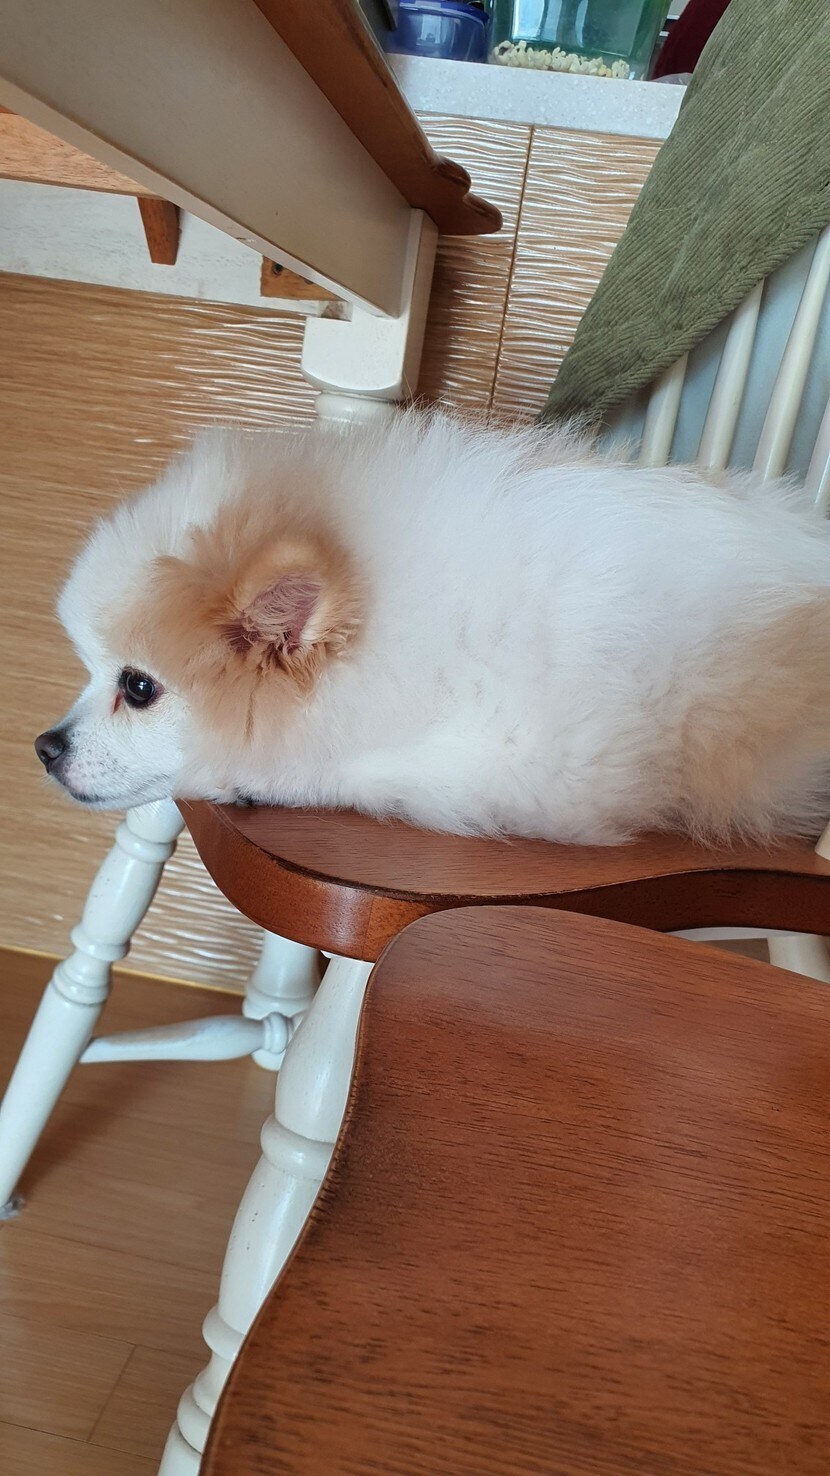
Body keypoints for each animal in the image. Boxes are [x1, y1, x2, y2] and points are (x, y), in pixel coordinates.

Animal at [36, 410, 830, 845]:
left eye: (139, 688)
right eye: (90, 669)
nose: (45, 745)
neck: (391, 621)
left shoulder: (543, 770)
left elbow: (350, 772)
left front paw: (250, 776)